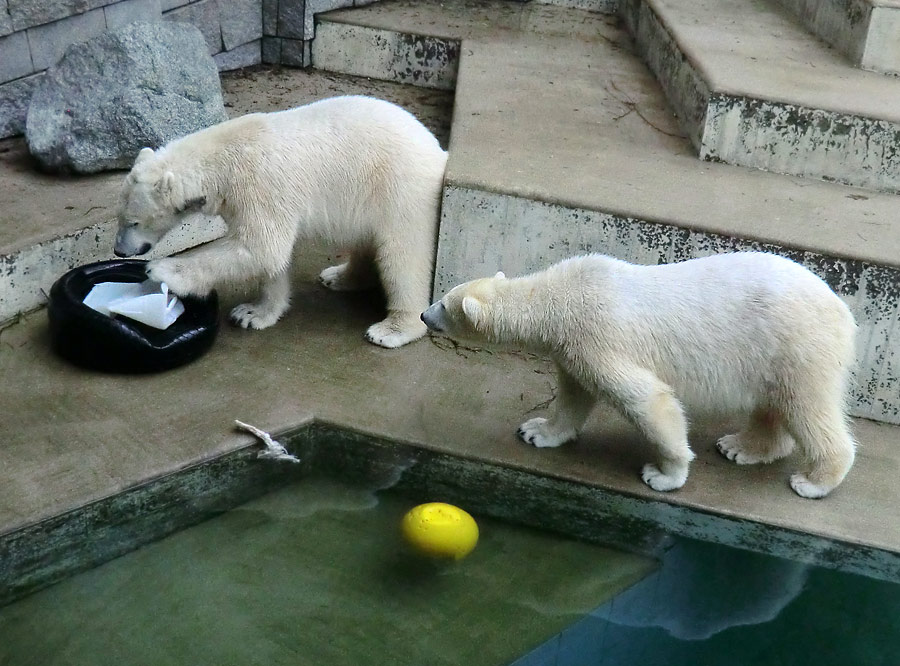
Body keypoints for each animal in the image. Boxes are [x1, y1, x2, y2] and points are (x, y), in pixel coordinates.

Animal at [114, 96, 448, 350]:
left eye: (133, 222)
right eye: (119, 217)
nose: (119, 251)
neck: (222, 159)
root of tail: (439, 153)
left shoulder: (259, 186)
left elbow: (262, 247)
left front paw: (162, 271)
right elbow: (268, 258)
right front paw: (253, 313)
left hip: (400, 190)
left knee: (402, 257)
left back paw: (392, 329)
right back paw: (338, 276)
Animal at [422, 252, 856, 496]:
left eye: (444, 303)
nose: (425, 315)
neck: (558, 298)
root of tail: (844, 312)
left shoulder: (598, 336)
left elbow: (648, 399)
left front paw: (664, 474)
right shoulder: (574, 349)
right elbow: (574, 394)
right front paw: (537, 431)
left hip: (797, 345)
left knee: (808, 409)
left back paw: (814, 480)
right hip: (770, 355)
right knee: (774, 405)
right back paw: (740, 446)